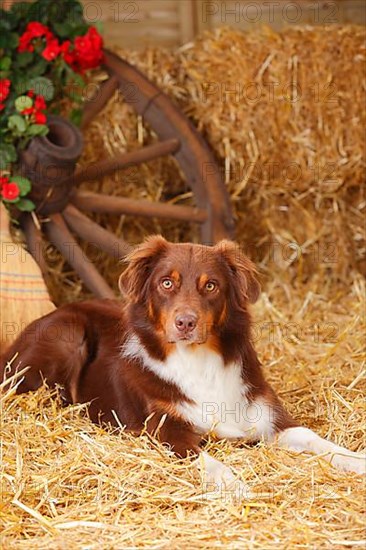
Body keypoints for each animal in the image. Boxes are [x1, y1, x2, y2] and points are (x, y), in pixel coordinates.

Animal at [1, 235, 364, 494]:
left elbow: (312, 437)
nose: (185, 322)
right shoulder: (167, 431)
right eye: (166, 283)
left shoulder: (271, 418)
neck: (198, 361)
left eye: (211, 285)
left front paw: (355, 459)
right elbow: (208, 459)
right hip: (69, 333)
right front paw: (233, 485)